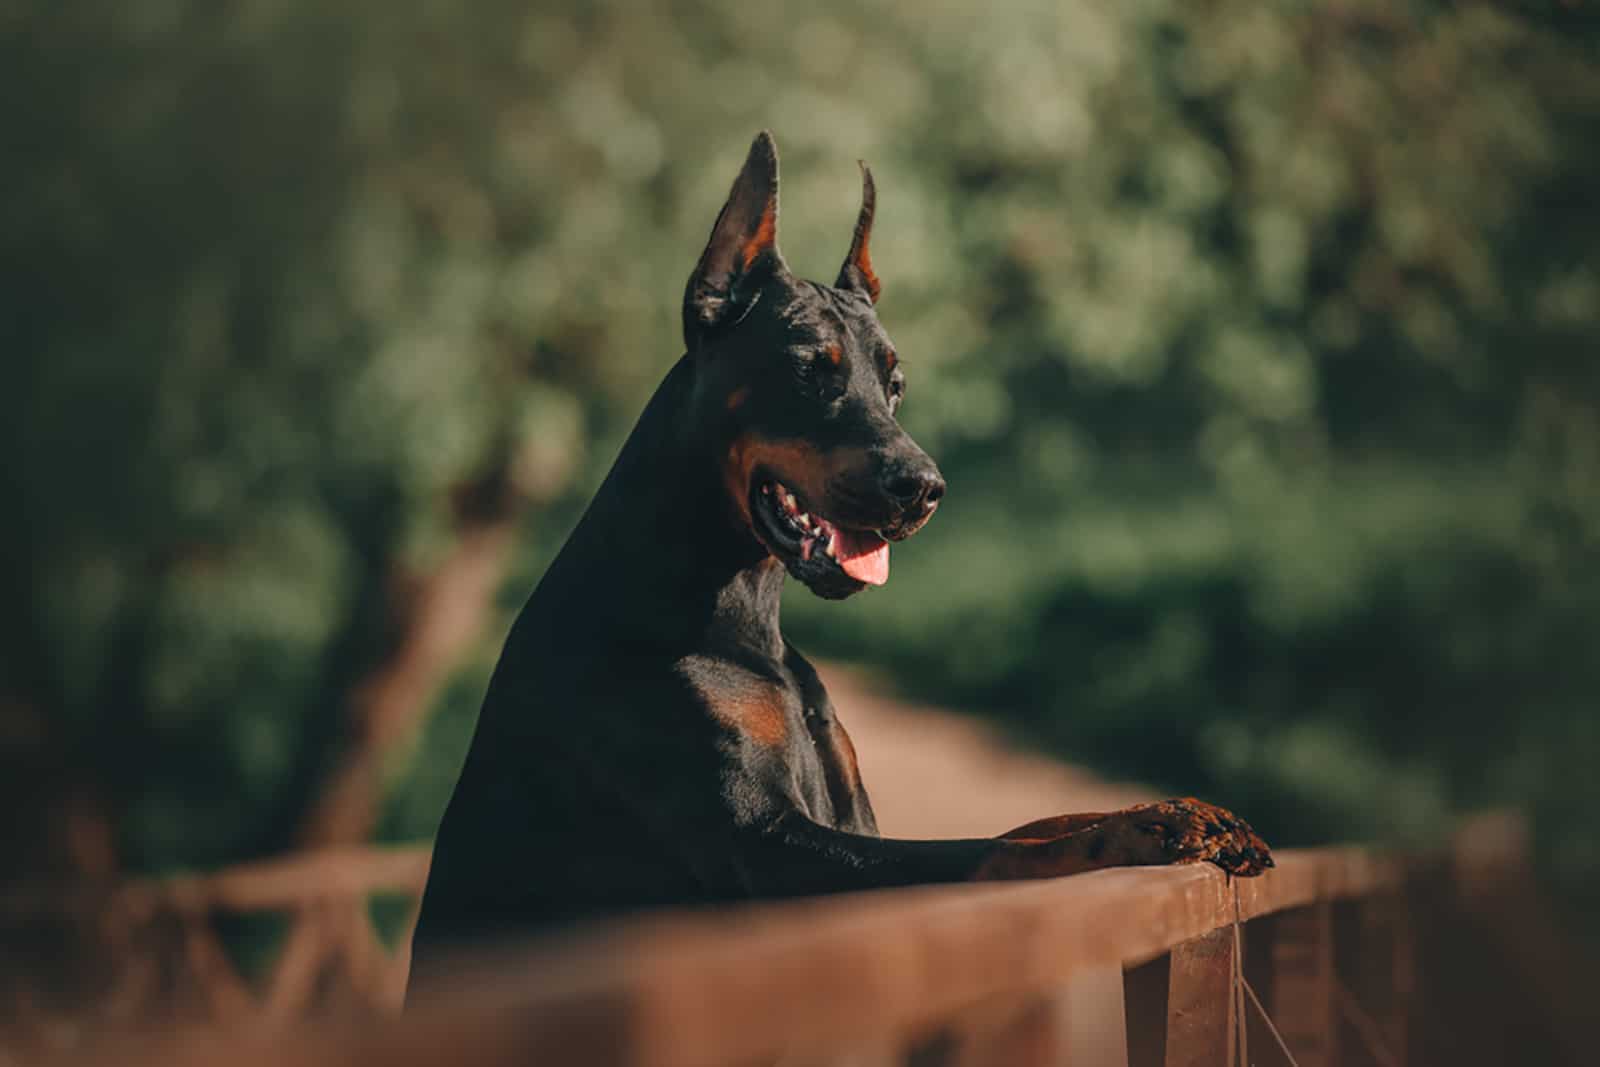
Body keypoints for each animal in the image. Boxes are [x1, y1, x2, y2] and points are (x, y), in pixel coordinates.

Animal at [412, 135, 1273, 991]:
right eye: (809, 369)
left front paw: (1178, 810)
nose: (922, 487)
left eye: (896, 382)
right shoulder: (766, 847)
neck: (741, 610)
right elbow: (990, 850)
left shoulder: (852, 811)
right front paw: (1144, 834)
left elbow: (1034, 819)